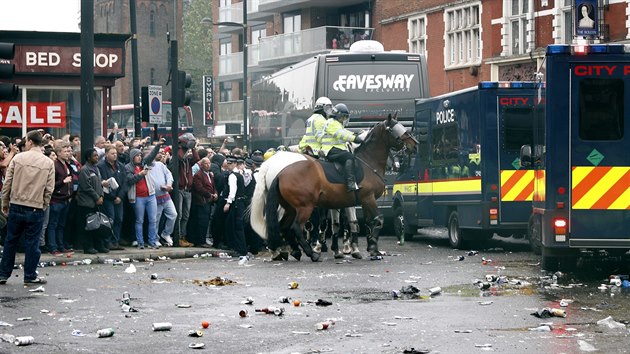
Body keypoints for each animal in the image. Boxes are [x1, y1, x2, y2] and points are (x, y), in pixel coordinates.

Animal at [249, 115, 418, 262]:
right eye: (397, 130)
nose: (415, 145)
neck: (367, 162)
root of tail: (280, 172)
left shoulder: (358, 202)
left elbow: (363, 222)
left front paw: (368, 249)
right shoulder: (367, 198)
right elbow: (377, 220)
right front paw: (368, 249)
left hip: (290, 207)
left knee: (283, 226)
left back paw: (291, 251)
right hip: (305, 207)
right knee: (295, 227)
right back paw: (309, 253)